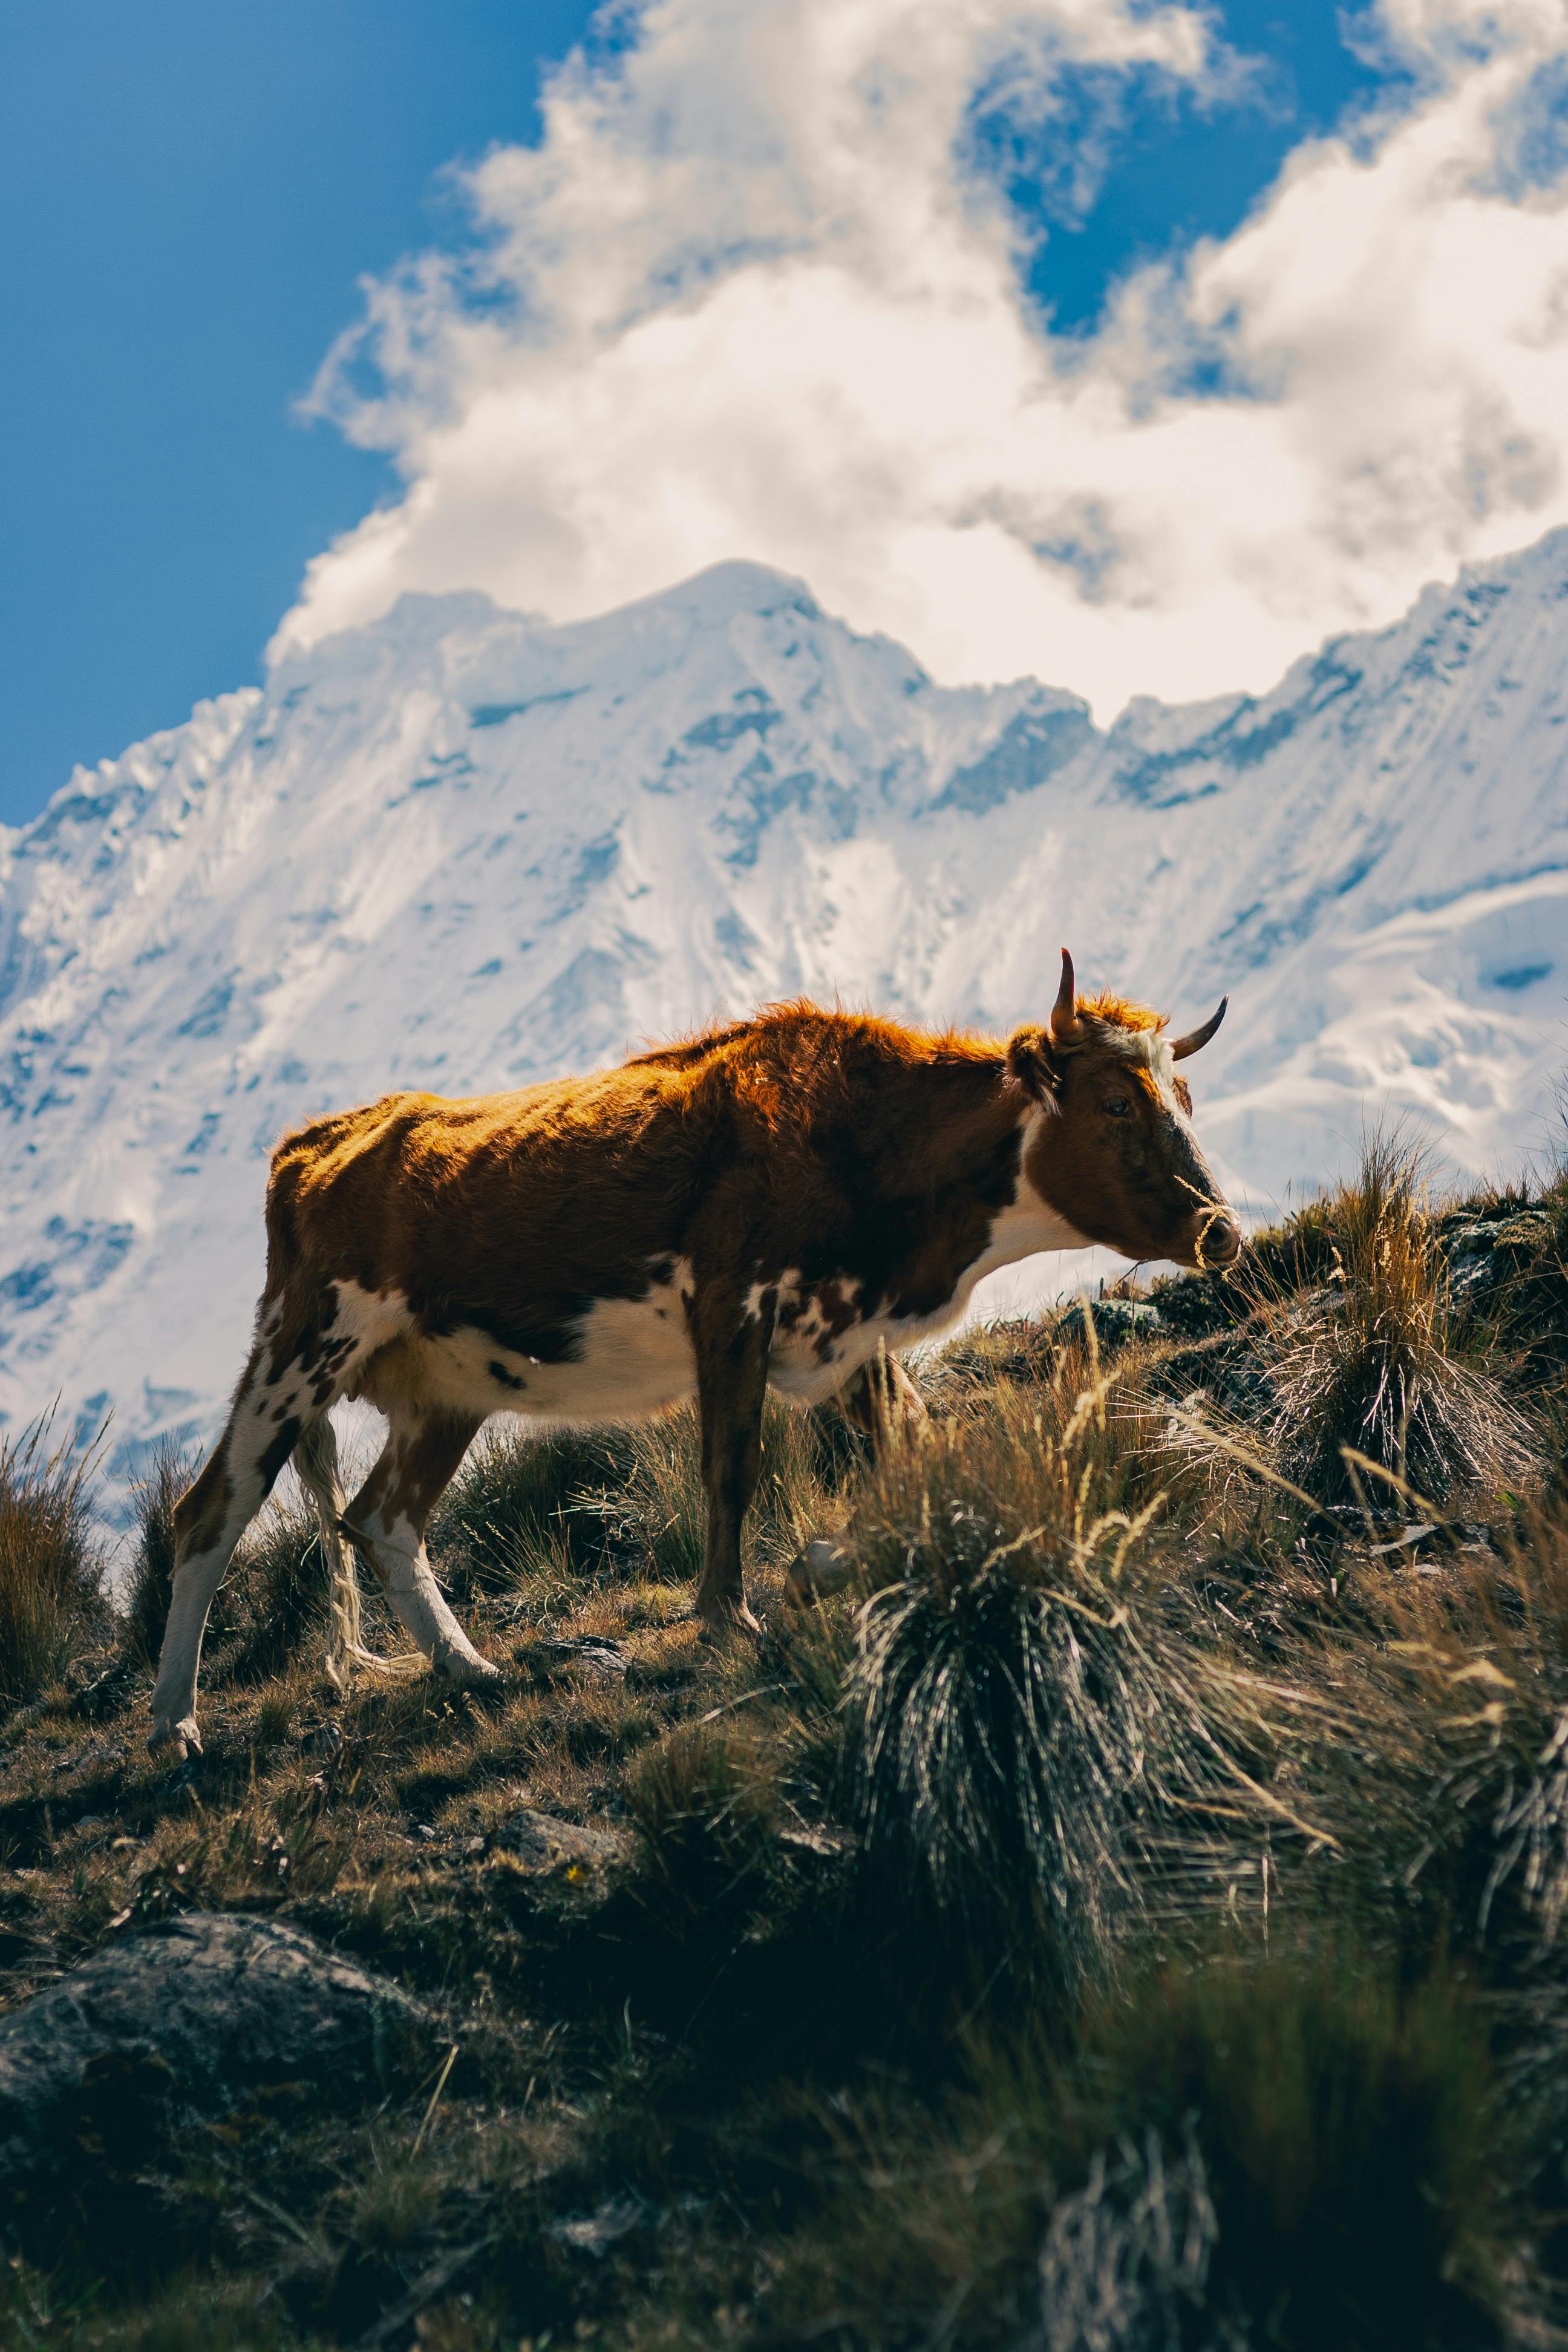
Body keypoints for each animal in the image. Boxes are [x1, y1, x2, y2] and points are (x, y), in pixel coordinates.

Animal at [149, 951, 1238, 1757]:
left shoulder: (844, 1337)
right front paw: (728, 1615)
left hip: (444, 1387)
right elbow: (732, 1463)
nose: (1220, 1231)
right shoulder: (733, 1299)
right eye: (1114, 1103)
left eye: (1184, 1092)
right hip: (303, 1342)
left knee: (381, 1519)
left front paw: (823, 1563)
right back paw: (174, 1725)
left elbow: (921, 1453)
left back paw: (470, 1669)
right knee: (211, 1512)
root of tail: (320, 1138)